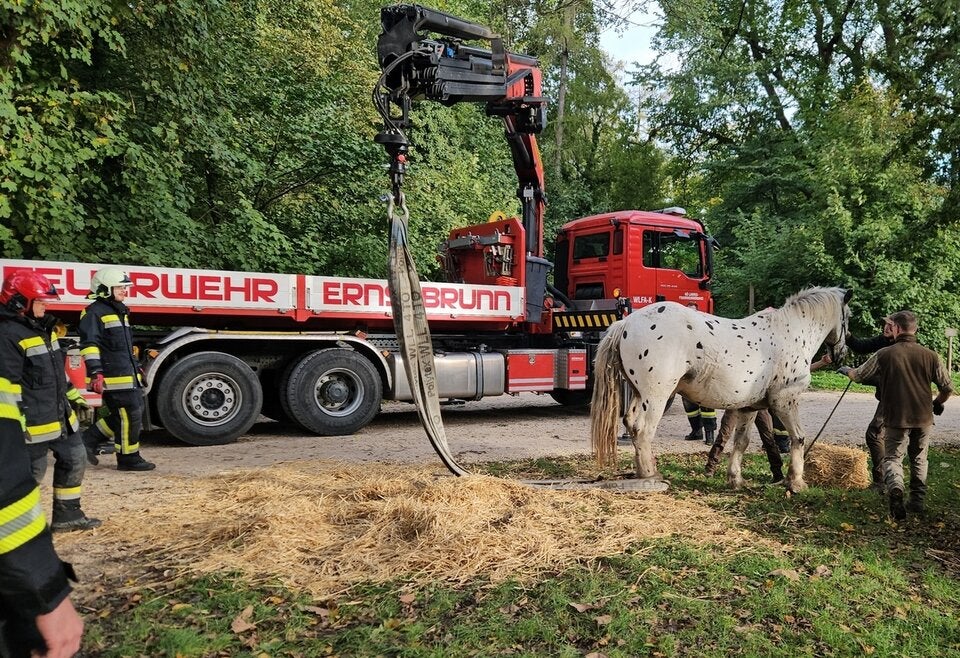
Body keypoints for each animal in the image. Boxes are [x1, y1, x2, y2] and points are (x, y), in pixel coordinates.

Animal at [590, 287, 851, 492]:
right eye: (848, 316)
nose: (841, 353)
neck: (791, 333)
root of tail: (625, 322)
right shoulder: (785, 401)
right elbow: (799, 437)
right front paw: (796, 482)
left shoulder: (749, 407)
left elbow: (741, 442)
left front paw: (735, 479)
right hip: (656, 397)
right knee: (644, 430)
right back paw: (650, 475)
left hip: (638, 393)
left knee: (631, 424)